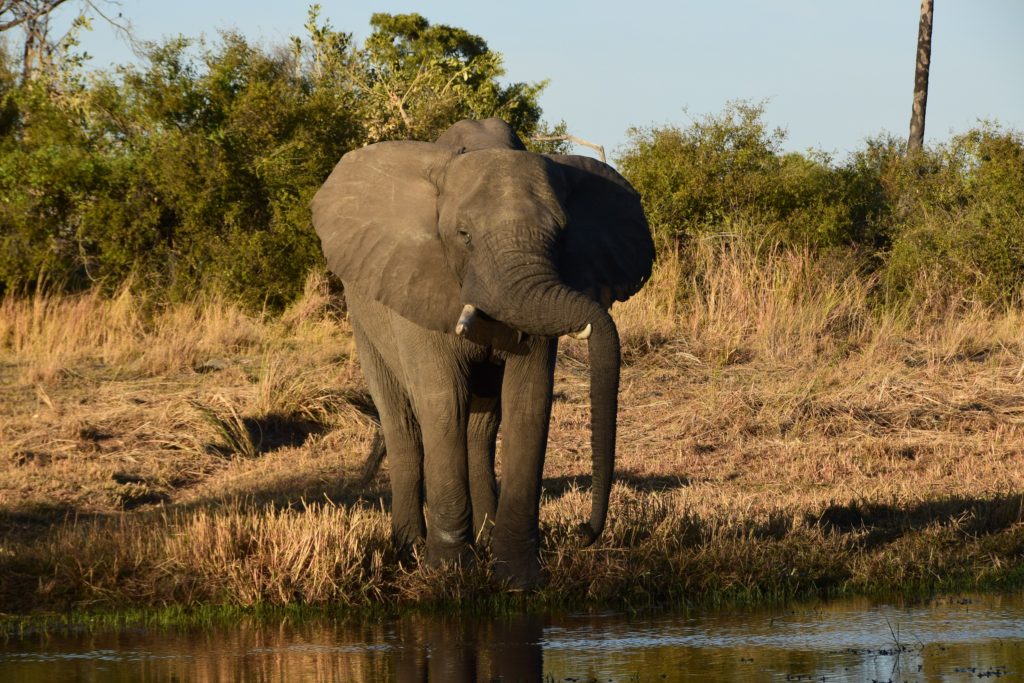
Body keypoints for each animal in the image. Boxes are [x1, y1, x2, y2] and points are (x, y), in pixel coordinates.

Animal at [307, 117, 655, 589]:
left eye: (561, 235)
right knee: (401, 420)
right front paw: (446, 576)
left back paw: (483, 540)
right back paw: (409, 549)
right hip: (362, 318)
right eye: (464, 236)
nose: (583, 531)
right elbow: (442, 402)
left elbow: (529, 400)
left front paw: (519, 580)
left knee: (482, 425)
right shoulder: (419, 285)